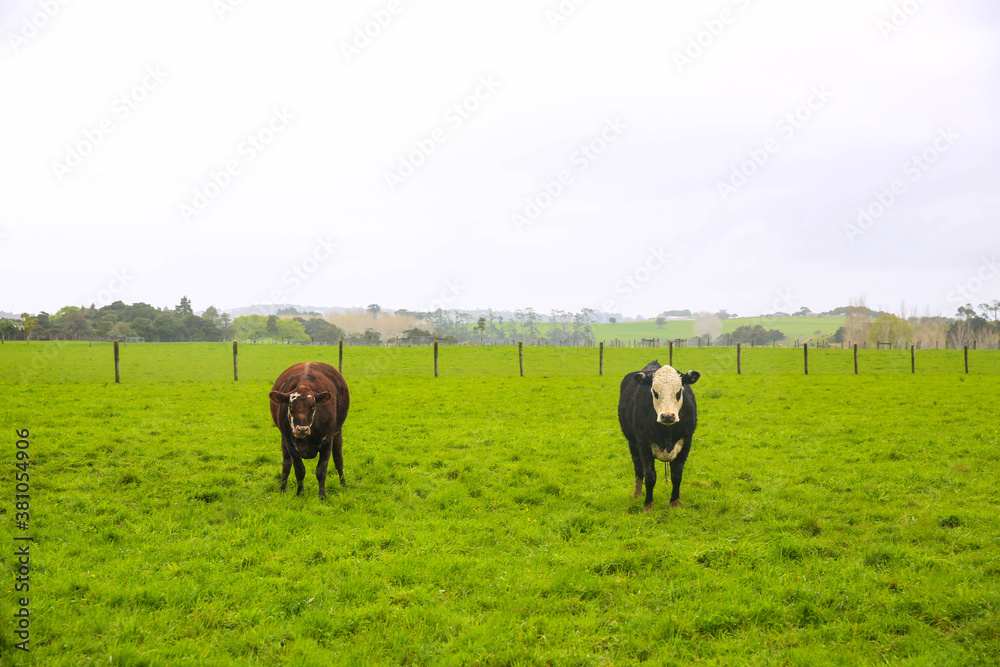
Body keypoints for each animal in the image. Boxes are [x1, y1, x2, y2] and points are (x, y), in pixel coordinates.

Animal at [270, 362, 352, 498]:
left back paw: (344, 484)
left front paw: (322, 496)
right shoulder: (290, 442)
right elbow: (299, 469)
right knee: (286, 464)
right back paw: (282, 488)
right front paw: (300, 493)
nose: (302, 429)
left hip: (338, 433)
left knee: (338, 460)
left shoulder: (327, 440)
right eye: (291, 406)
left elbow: (321, 470)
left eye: (313, 406)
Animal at [616, 360, 704, 512]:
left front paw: (675, 502)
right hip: (632, 444)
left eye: (679, 391)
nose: (667, 416)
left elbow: (677, 475)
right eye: (654, 392)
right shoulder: (644, 444)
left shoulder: (686, 442)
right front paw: (648, 505)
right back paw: (637, 494)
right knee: (638, 469)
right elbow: (650, 476)